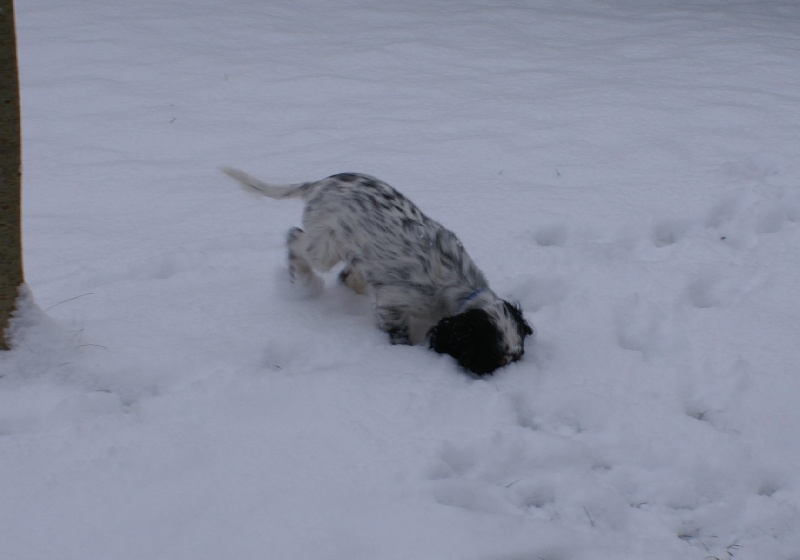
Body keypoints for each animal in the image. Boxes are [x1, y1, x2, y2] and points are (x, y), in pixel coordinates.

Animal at [222, 167, 533, 374]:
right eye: (493, 361)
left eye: (517, 359)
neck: (459, 288)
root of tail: (321, 183)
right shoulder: (394, 304)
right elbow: (397, 330)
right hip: (325, 245)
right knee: (295, 239)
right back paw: (304, 284)